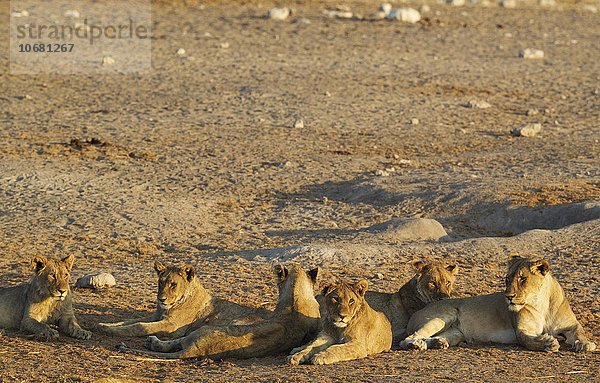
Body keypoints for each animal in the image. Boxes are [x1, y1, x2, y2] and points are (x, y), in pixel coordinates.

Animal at [98, 260, 270, 340]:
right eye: (161, 282)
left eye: (173, 284)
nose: (161, 299)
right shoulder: (155, 316)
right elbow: (129, 321)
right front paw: (105, 325)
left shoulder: (171, 325)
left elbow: (139, 326)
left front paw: (111, 330)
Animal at [398, 258, 596, 354]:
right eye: (507, 279)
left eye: (522, 279)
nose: (508, 297)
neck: (541, 303)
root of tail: (420, 310)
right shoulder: (521, 330)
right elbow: (529, 340)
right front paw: (548, 343)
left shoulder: (571, 325)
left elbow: (580, 331)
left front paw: (586, 344)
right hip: (444, 315)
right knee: (407, 339)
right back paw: (416, 345)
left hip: (456, 333)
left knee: (438, 337)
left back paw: (438, 342)